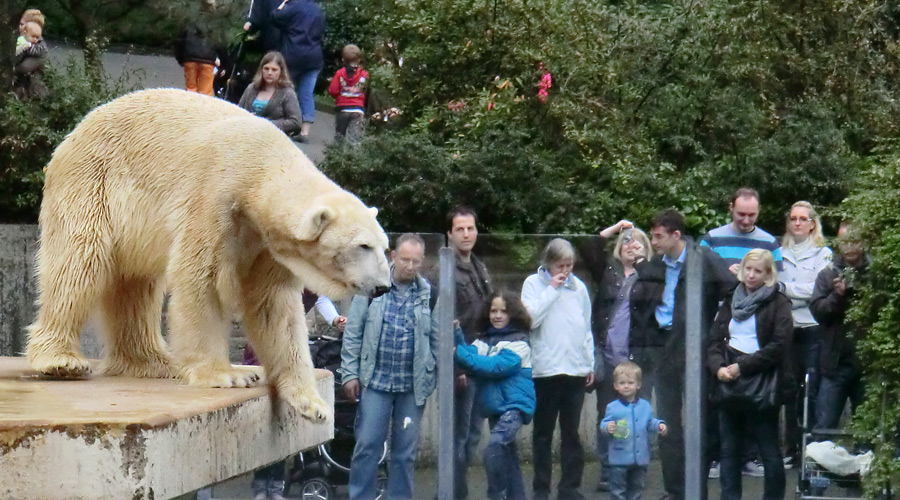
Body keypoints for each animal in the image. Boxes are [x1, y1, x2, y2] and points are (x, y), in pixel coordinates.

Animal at [23, 90, 390, 422]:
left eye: (383, 244)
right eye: (363, 246)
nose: (383, 287)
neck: (260, 165)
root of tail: (73, 135)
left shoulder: (266, 244)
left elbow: (273, 305)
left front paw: (311, 402)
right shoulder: (214, 199)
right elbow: (205, 281)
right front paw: (227, 374)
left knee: (136, 285)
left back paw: (155, 361)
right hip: (92, 184)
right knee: (80, 262)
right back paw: (61, 360)